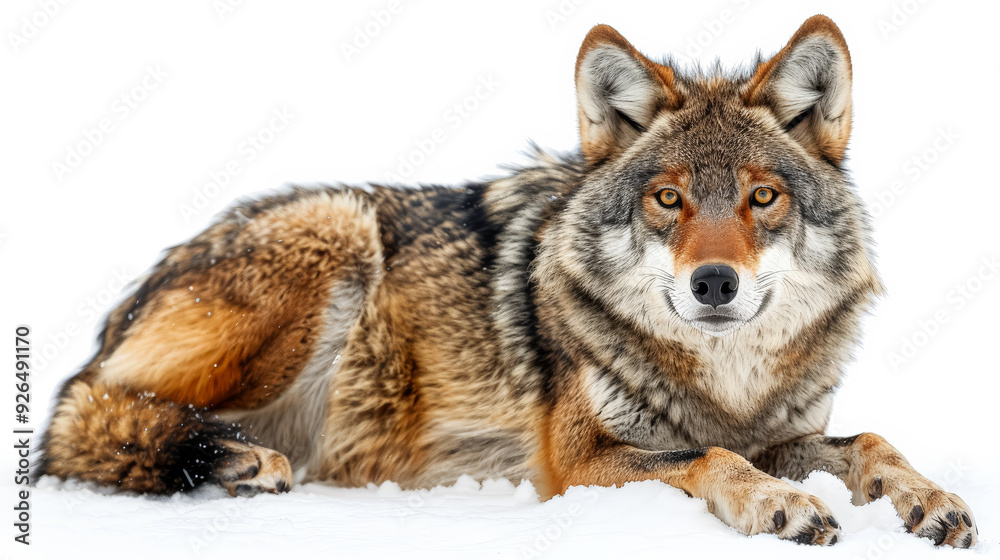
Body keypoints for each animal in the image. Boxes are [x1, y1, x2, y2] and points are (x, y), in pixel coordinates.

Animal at [38, 15, 976, 547]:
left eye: (762, 197)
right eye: (668, 199)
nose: (715, 284)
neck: (725, 380)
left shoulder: (783, 430)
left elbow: (871, 443)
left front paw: (930, 500)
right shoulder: (578, 459)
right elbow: (711, 455)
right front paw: (779, 506)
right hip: (336, 233)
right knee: (82, 412)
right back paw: (230, 458)